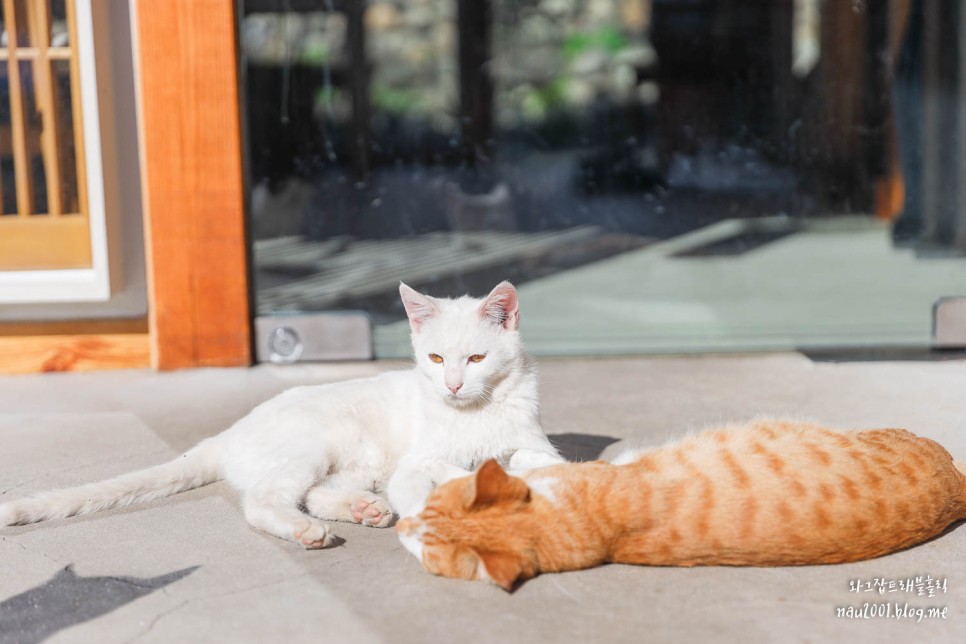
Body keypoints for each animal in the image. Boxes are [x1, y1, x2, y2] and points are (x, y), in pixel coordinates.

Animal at [0, 282, 564, 548]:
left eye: (476, 359)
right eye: (437, 359)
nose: (452, 385)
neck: (475, 413)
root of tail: (229, 433)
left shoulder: (533, 442)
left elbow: (537, 461)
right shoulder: (416, 462)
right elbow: (434, 481)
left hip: (353, 461)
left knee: (316, 493)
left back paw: (365, 509)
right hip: (314, 444)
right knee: (266, 501)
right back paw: (308, 530)